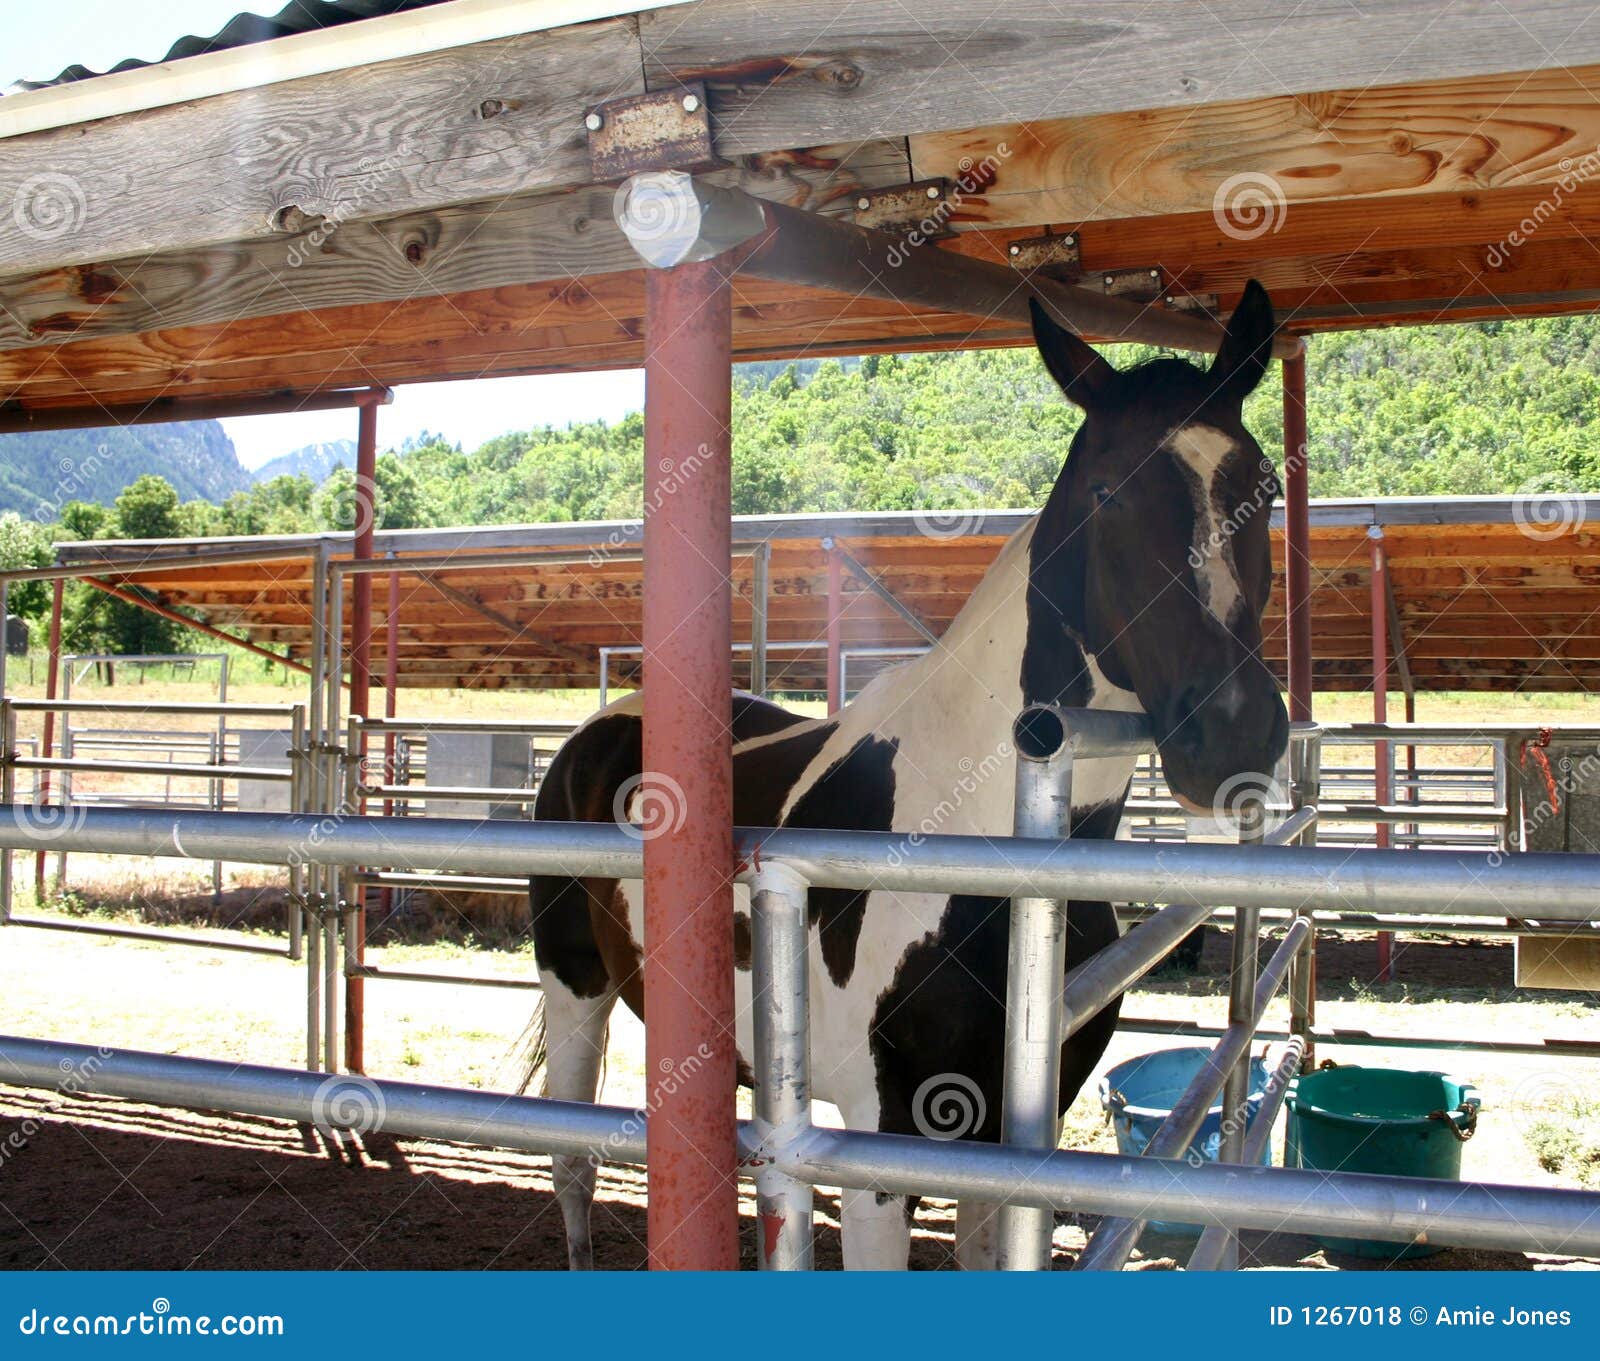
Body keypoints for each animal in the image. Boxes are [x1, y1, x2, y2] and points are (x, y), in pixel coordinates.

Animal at [525, 280, 1289, 1269]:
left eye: (1266, 486)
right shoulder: (880, 1143)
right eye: (1108, 491)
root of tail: (594, 735)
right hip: (575, 990)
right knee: (573, 1165)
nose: (1233, 732)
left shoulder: (1010, 1128)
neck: (976, 839)